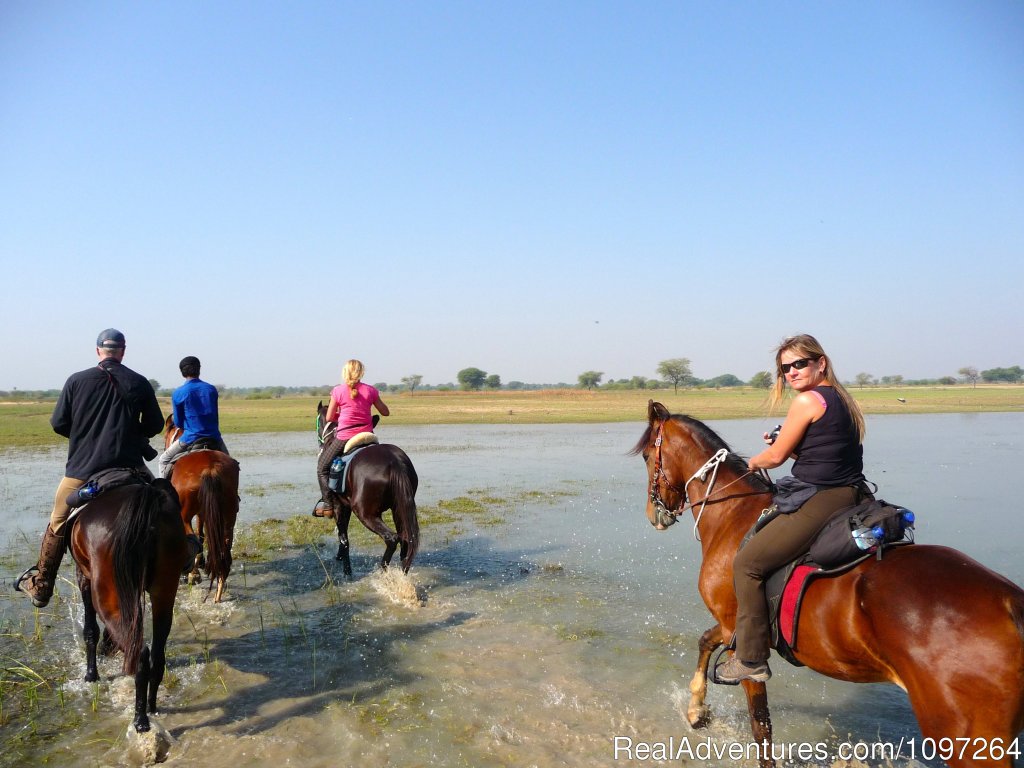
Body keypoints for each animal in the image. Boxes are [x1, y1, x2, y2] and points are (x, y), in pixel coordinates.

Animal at [70, 481, 188, 733]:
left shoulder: (83, 576)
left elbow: (90, 629)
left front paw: (91, 675)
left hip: (106, 594)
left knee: (140, 652)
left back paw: (140, 719)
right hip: (164, 590)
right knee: (156, 654)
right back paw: (152, 706)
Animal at [163, 417, 239, 606]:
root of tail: (210, 468)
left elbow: (198, 535)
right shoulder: (205, 512)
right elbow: (202, 532)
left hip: (184, 515)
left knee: (193, 539)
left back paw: (193, 574)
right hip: (228, 517)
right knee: (224, 551)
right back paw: (218, 590)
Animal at [315, 403, 419, 577]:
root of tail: (394, 462)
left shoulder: (338, 505)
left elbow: (343, 537)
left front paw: (347, 570)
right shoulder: (346, 505)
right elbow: (343, 533)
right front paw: (340, 557)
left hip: (366, 513)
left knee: (392, 539)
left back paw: (383, 571)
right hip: (399, 508)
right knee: (406, 540)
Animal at [630, 403, 1024, 768]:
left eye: (648, 455)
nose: (653, 514)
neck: (732, 515)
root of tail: (1010, 603)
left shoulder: (741, 633)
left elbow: (761, 723)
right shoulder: (735, 626)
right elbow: (705, 641)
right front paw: (697, 709)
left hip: (966, 741)